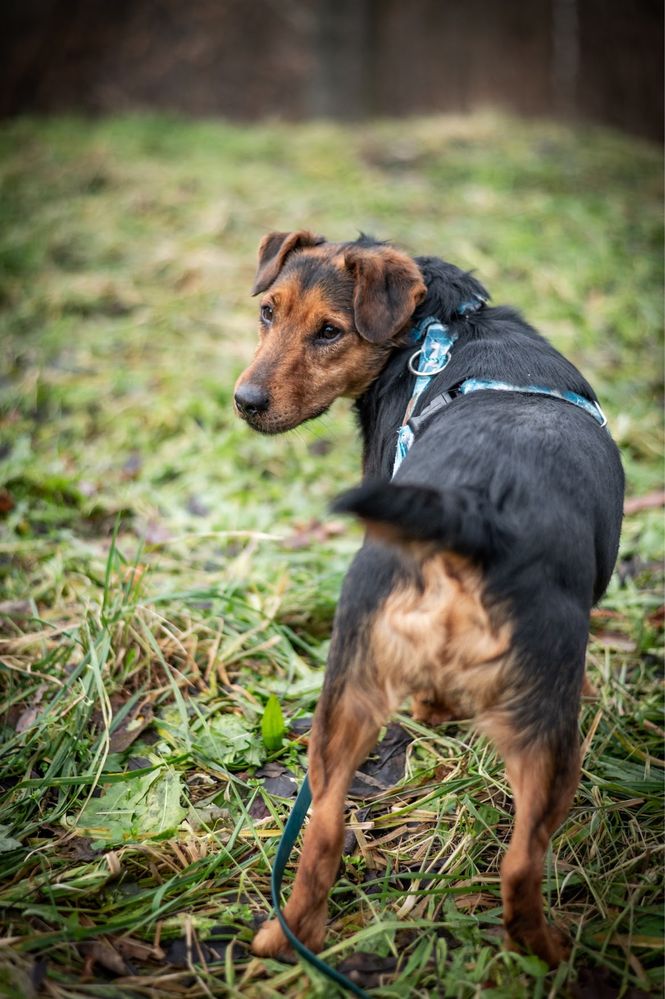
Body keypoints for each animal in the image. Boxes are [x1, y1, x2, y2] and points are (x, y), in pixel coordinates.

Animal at [233, 230, 624, 964]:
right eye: (268, 312)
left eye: (329, 331)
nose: (245, 400)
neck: (439, 324)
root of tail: (475, 507)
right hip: (553, 731)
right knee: (522, 864)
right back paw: (549, 952)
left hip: (347, 689)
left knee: (325, 829)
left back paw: (285, 936)